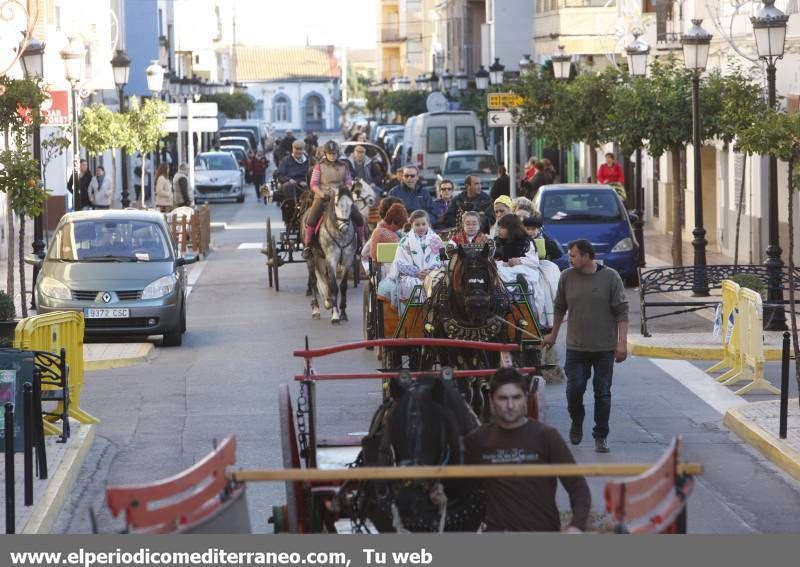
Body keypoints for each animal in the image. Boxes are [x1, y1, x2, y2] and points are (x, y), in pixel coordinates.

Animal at [304, 186, 358, 324]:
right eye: (337, 204)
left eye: (351, 204)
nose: (344, 226)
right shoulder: (331, 260)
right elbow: (334, 286)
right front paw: (335, 316)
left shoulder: (348, 260)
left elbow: (343, 286)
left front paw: (342, 312)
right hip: (312, 259)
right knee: (313, 281)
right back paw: (316, 310)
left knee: (325, 278)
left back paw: (328, 301)